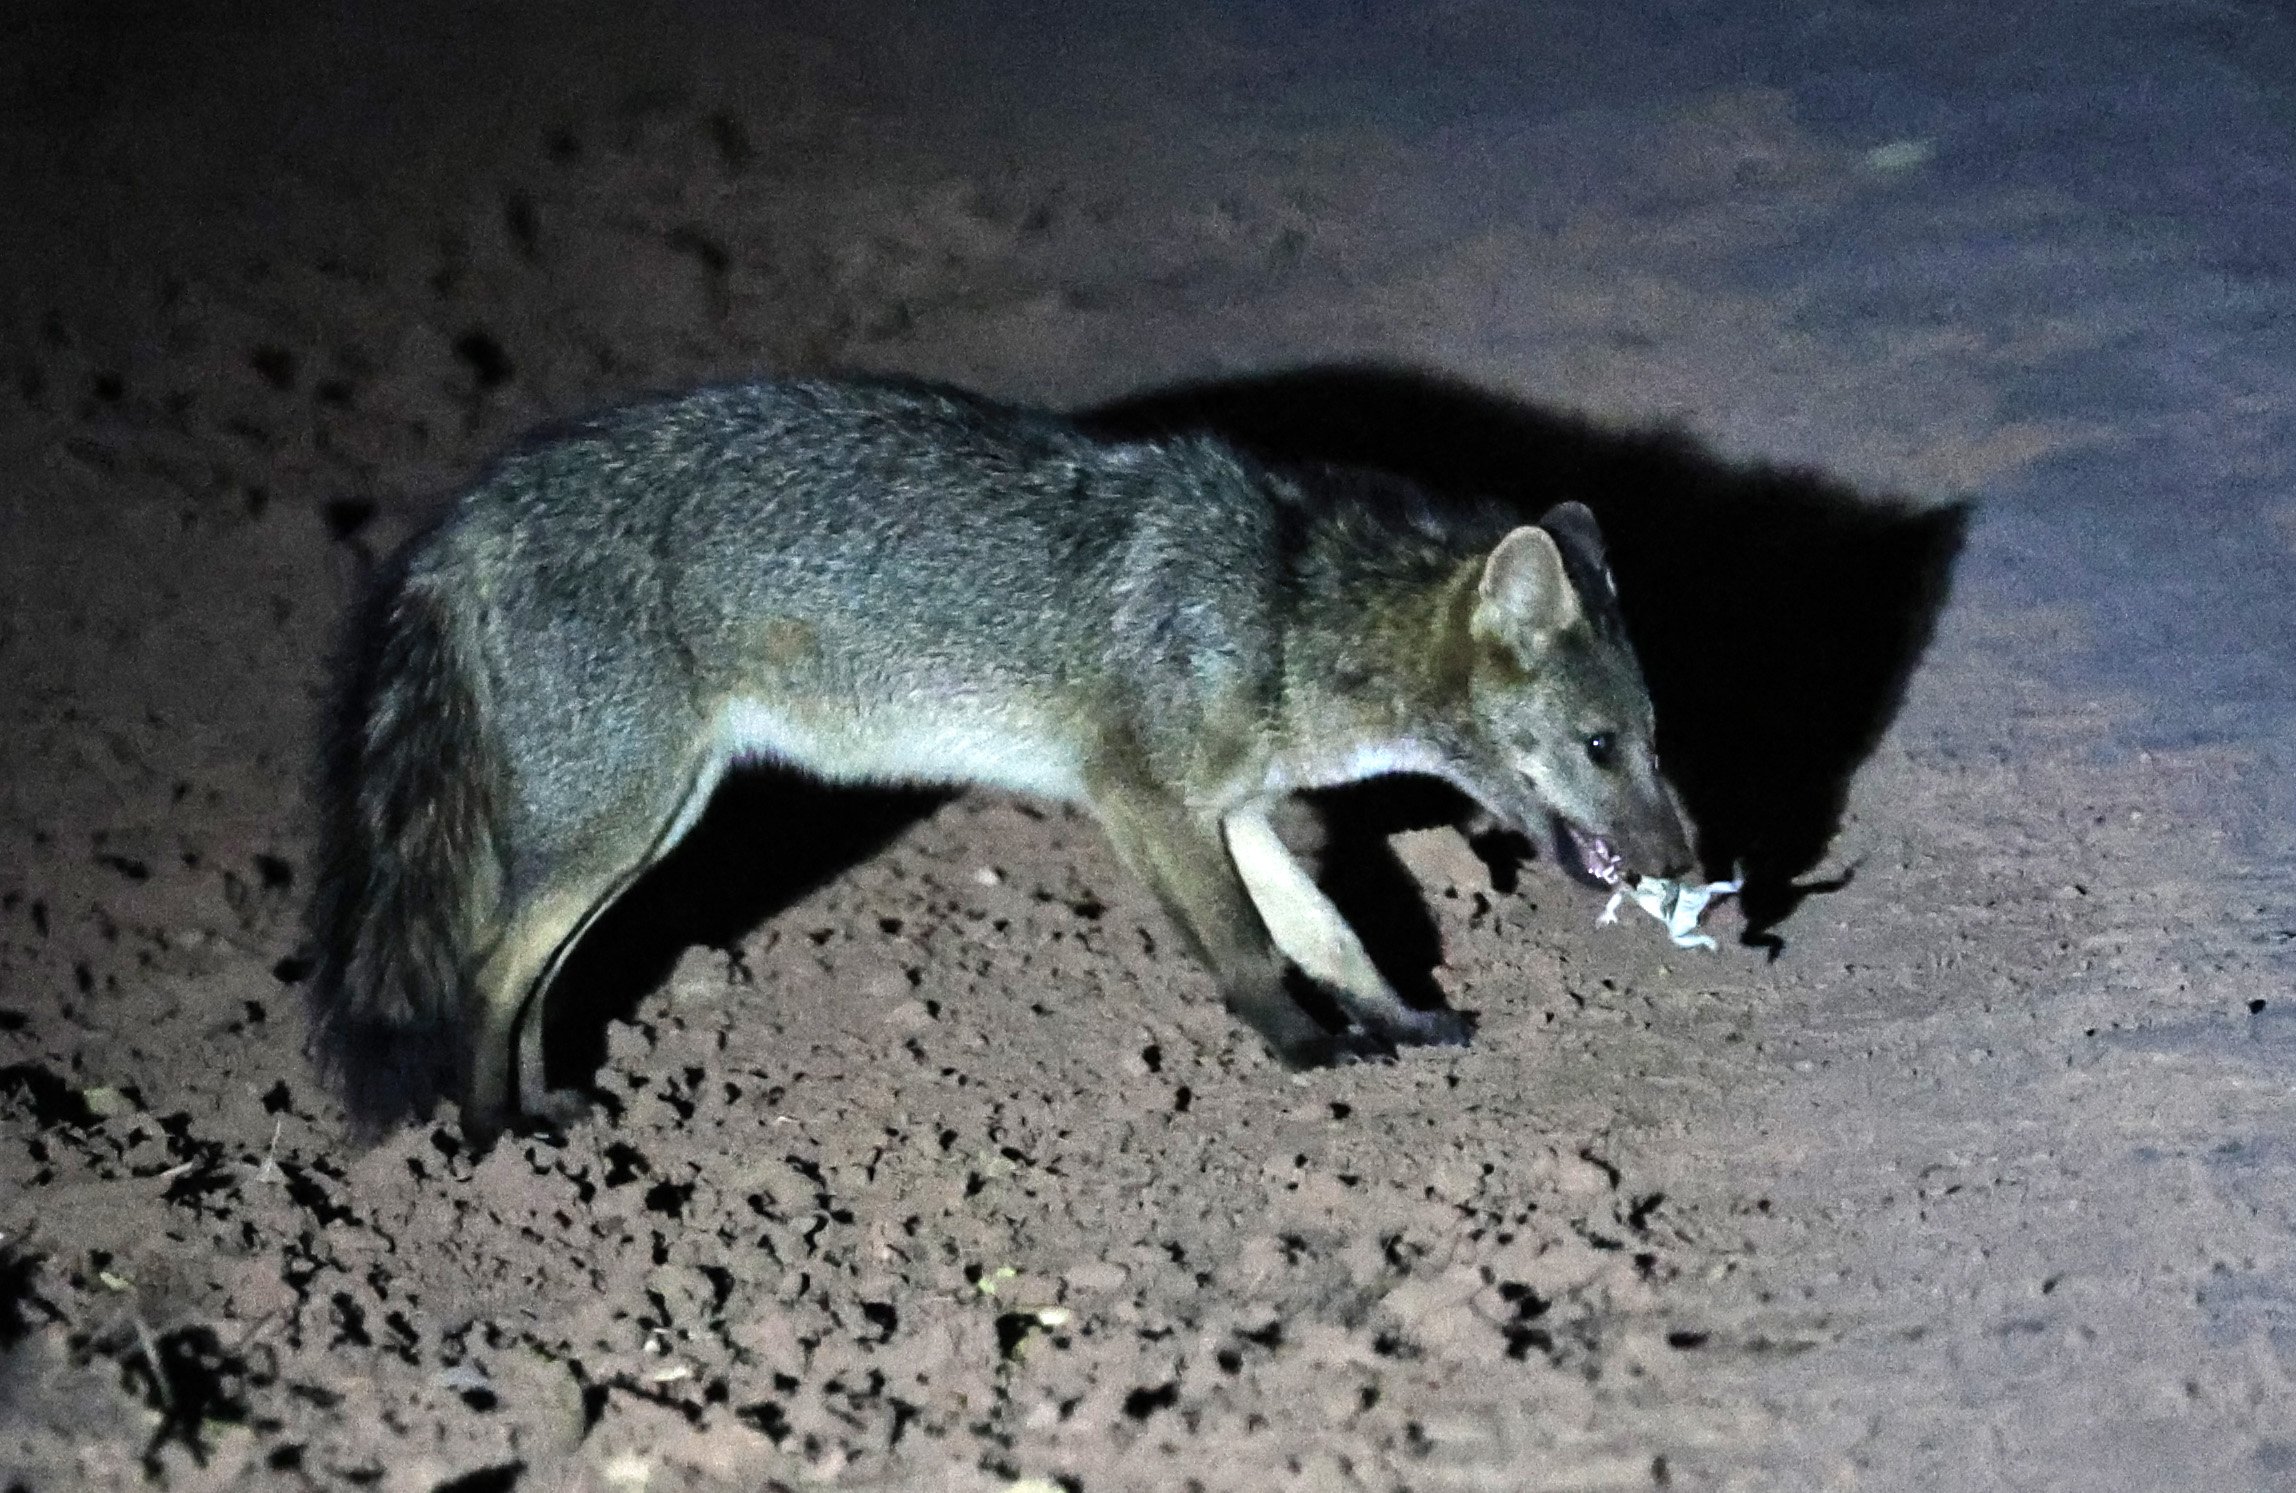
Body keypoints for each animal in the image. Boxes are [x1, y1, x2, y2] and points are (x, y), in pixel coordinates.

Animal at [307, 377, 1696, 1145]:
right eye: (1599, 744)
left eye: (1656, 739)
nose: (1689, 864)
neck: (1286, 596)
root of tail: (471, 512)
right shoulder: (1142, 801)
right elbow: (1249, 952)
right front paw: (1306, 1055)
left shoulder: (1237, 810)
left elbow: (1332, 932)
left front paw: (1399, 1018)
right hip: (617, 821)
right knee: (488, 970)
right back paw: (489, 1133)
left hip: (646, 826)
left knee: (534, 980)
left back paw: (542, 1107)